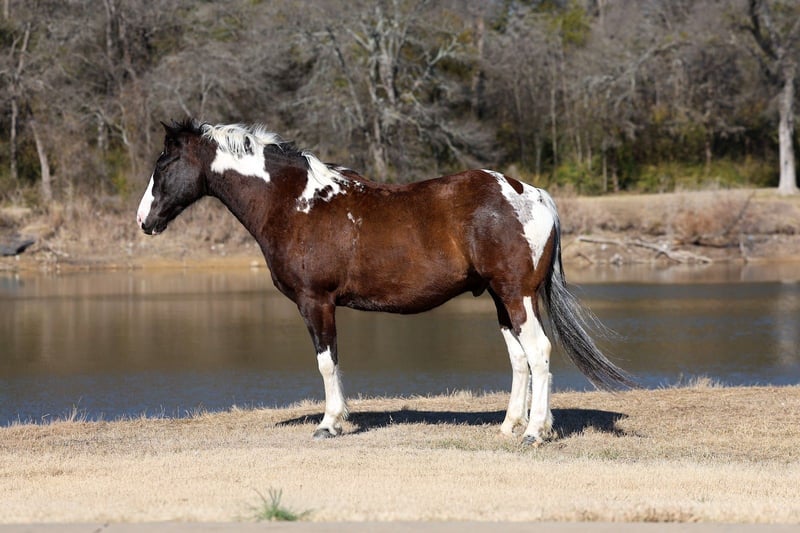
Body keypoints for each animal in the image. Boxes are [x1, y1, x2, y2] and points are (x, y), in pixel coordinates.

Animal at [136, 119, 635, 445]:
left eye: (164, 164)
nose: (144, 220)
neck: (294, 202)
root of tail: (530, 193)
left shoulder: (315, 302)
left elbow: (327, 363)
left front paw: (330, 423)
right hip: (501, 299)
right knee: (520, 359)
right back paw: (510, 425)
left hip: (518, 295)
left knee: (540, 352)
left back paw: (535, 432)